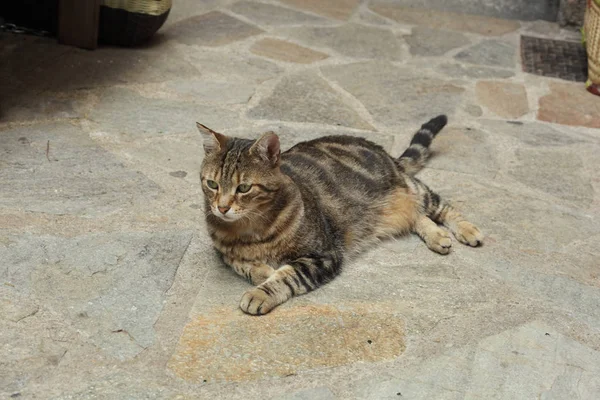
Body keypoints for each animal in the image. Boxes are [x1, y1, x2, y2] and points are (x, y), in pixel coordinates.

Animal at [197, 115, 482, 316]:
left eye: (244, 188)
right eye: (212, 184)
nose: (222, 207)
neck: (249, 229)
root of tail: (384, 151)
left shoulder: (323, 256)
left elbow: (287, 275)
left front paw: (261, 293)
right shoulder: (223, 252)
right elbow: (239, 262)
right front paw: (260, 271)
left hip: (413, 190)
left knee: (439, 206)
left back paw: (467, 231)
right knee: (417, 217)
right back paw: (438, 236)